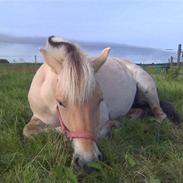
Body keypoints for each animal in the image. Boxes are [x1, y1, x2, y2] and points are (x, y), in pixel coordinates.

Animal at [23, 36, 178, 172]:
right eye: (60, 102)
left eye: (100, 99)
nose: (87, 163)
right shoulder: (38, 116)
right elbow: (27, 130)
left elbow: (97, 130)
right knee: (139, 111)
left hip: (147, 88)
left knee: (160, 114)